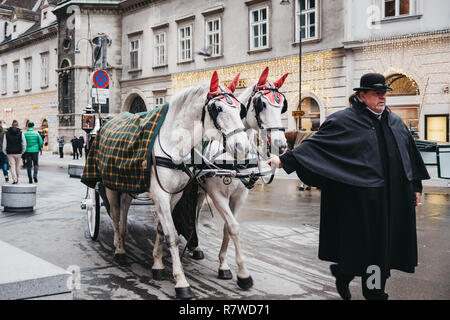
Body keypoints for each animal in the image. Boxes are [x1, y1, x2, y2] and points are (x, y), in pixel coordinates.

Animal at [103, 71, 250, 298]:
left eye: (240, 109)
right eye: (218, 109)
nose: (244, 147)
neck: (173, 145)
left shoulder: (174, 194)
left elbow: (161, 229)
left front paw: (157, 265)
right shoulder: (161, 195)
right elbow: (171, 235)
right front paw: (181, 282)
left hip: (128, 181)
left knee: (125, 205)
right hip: (110, 185)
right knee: (116, 212)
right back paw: (119, 248)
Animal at [190, 67, 288, 284]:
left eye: (281, 106)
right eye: (261, 104)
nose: (281, 145)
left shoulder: (239, 196)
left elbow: (228, 228)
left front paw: (224, 265)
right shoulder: (218, 195)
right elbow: (233, 227)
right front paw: (243, 273)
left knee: (197, 211)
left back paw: (196, 245)